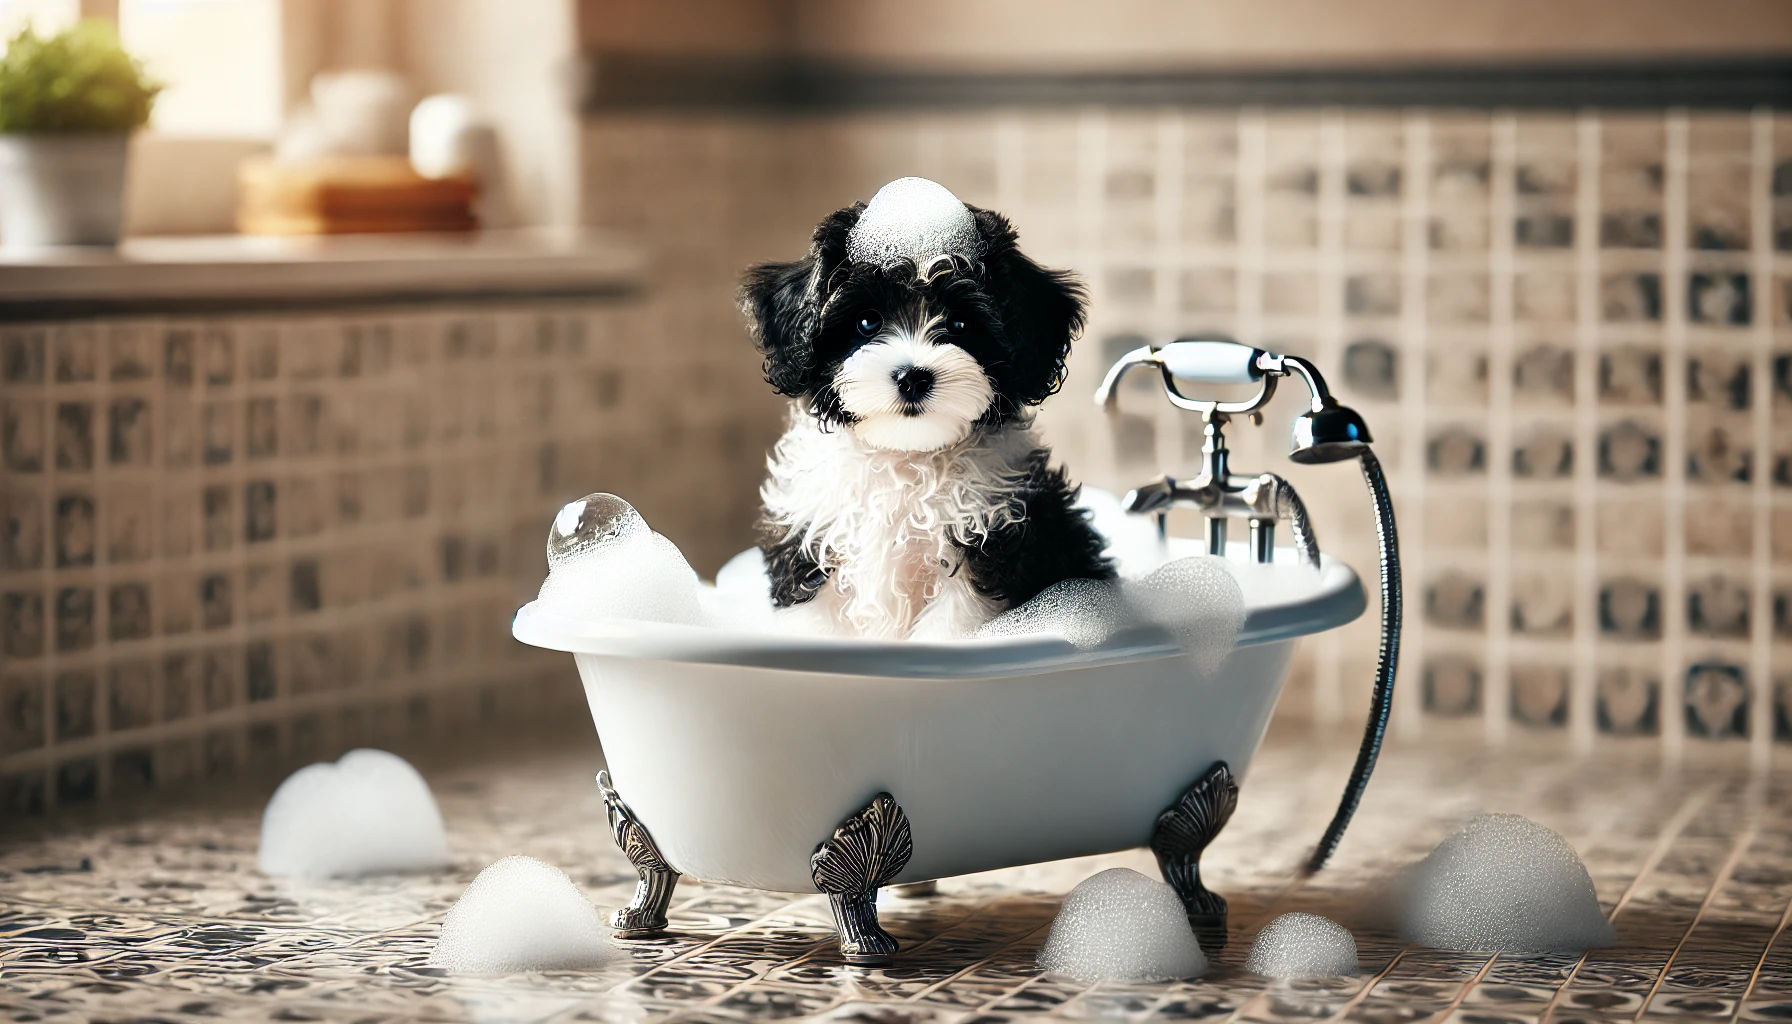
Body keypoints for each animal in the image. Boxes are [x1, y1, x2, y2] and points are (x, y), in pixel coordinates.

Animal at [738, 179, 1103, 638]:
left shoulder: (986, 544)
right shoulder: (810, 541)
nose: (913, 376)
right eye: (867, 322)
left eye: (960, 324)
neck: (905, 457)